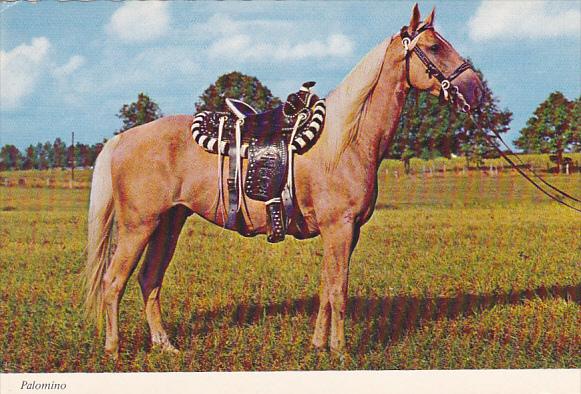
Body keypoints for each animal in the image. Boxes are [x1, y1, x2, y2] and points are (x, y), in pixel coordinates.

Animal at [84, 4, 482, 358]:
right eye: (434, 47)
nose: (476, 88)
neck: (346, 139)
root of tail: (123, 139)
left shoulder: (346, 232)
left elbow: (326, 287)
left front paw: (319, 345)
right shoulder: (339, 228)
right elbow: (338, 290)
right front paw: (340, 351)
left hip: (169, 223)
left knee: (149, 280)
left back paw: (165, 346)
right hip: (139, 225)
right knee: (113, 282)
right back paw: (113, 350)